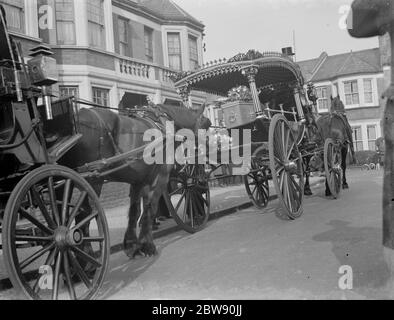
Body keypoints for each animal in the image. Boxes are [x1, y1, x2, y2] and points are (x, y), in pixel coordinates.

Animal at [59, 104, 209, 258]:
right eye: (206, 125)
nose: (205, 149)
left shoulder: (138, 181)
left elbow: (135, 211)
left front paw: (132, 244)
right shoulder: (159, 178)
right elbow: (150, 208)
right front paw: (147, 245)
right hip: (92, 181)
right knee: (84, 215)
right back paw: (86, 257)